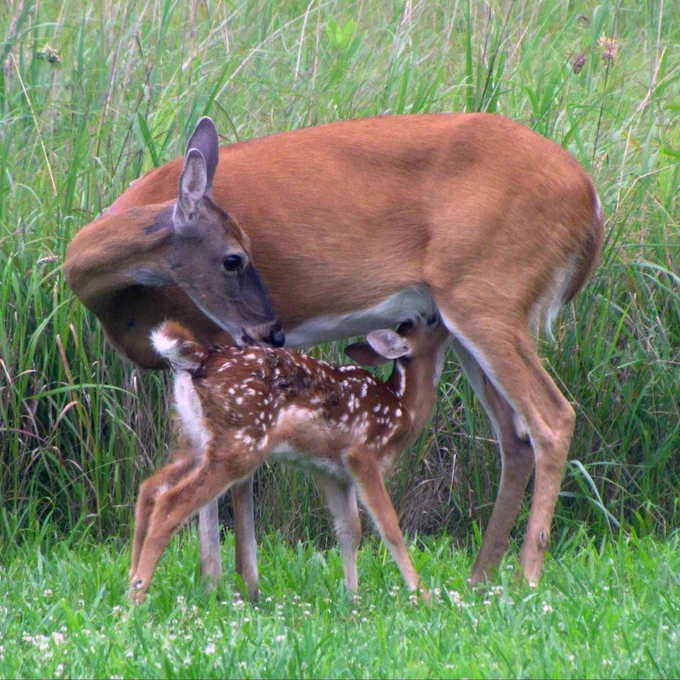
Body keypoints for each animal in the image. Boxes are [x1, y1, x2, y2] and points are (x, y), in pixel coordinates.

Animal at [129, 314, 450, 603]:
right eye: (430, 321)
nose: (441, 316)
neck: (401, 408)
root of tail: (201, 358)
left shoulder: (331, 471)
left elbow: (350, 531)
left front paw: (353, 599)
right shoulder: (362, 454)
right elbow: (390, 528)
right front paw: (423, 597)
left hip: (194, 439)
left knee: (149, 488)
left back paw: (131, 585)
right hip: (240, 441)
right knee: (172, 502)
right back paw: (138, 598)